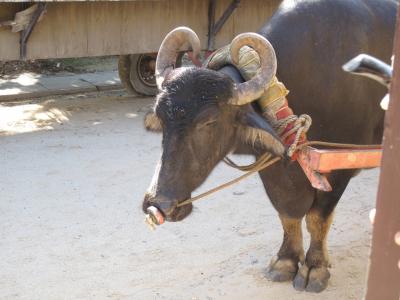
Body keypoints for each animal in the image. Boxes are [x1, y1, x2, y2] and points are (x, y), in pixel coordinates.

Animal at [141, 0, 396, 292]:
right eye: (162, 116)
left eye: (209, 121)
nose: (158, 204)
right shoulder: (273, 168)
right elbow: (287, 213)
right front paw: (285, 261)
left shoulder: (339, 167)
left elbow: (317, 218)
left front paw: (315, 268)